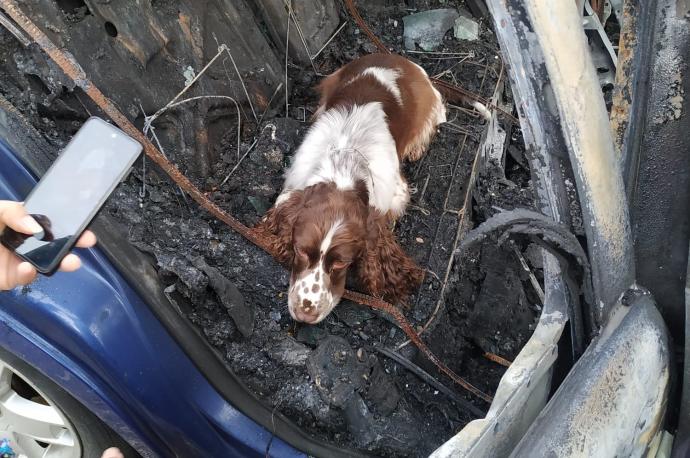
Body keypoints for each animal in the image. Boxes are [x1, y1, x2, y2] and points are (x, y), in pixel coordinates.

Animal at [255, 53, 444, 324]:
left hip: (430, 103)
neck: (344, 166)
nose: (304, 314)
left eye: (340, 264)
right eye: (300, 251)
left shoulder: (394, 194)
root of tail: (395, 57)